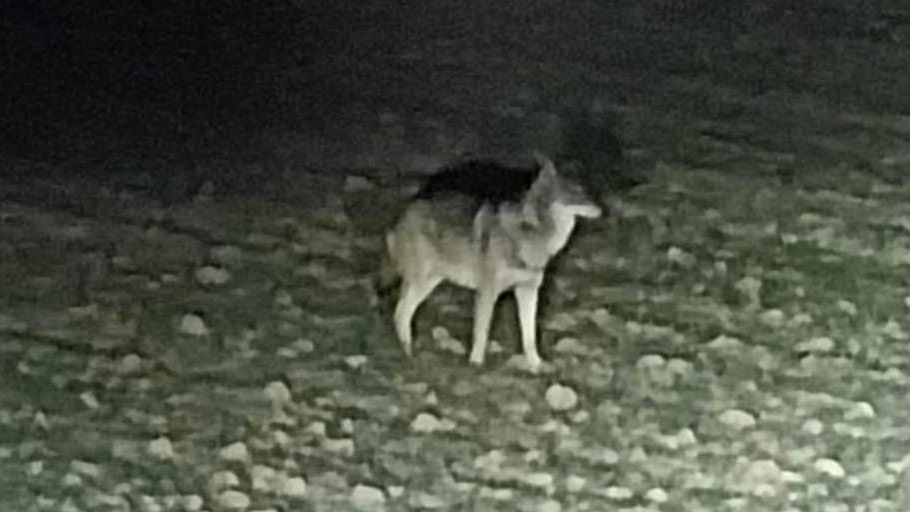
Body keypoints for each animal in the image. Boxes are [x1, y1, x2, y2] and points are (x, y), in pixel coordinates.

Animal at [383, 153, 602, 371]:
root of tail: (403, 215)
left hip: (430, 282)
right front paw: (476, 365)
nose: (600, 210)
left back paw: (408, 355)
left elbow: (529, 337)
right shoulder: (487, 292)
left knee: (401, 313)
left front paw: (536, 366)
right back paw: (407, 356)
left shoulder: (528, 291)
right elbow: (482, 333)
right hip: (421, 281)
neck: (531, 229)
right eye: (574, 192)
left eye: (584, 190)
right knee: (400, 314)